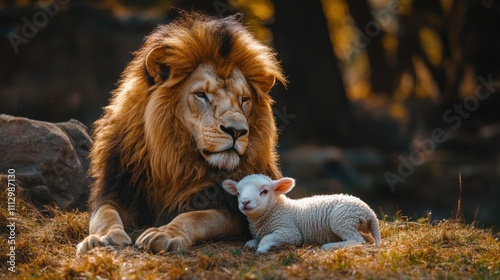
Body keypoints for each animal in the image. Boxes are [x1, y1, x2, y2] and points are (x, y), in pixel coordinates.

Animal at [74, 12, 286, 255]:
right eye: (201, 95)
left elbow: (196, 217)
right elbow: (103, 214)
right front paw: (103, 237)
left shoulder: (233, 210)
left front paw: (165, 234)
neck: (174, 159)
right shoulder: (119, 190)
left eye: (245, 100)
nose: (237, 130)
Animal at [221, 174, 380, 253]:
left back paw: (329, 246)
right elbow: (256, 239)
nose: (245, 202)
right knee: (365, 239)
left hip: (342, 219)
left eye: (264, 191)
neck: (276, 209)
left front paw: (262, 248)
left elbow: (267, 238)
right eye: (238, 193)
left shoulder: (290, 232)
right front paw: (251, 244)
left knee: (357, 240)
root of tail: (369, 211)